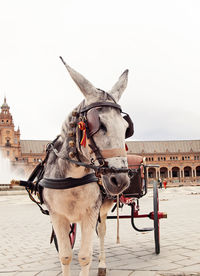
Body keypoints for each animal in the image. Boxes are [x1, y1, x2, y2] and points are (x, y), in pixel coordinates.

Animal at [42, 58, 133, 276]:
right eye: (98, 124)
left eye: (127, 128)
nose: (120, 180)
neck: (72, 178)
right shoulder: (56, 215)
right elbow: (65, 255)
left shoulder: (91, 212)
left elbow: (85, 256)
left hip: (103, 208)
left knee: (102, 231)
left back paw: (102, 265)